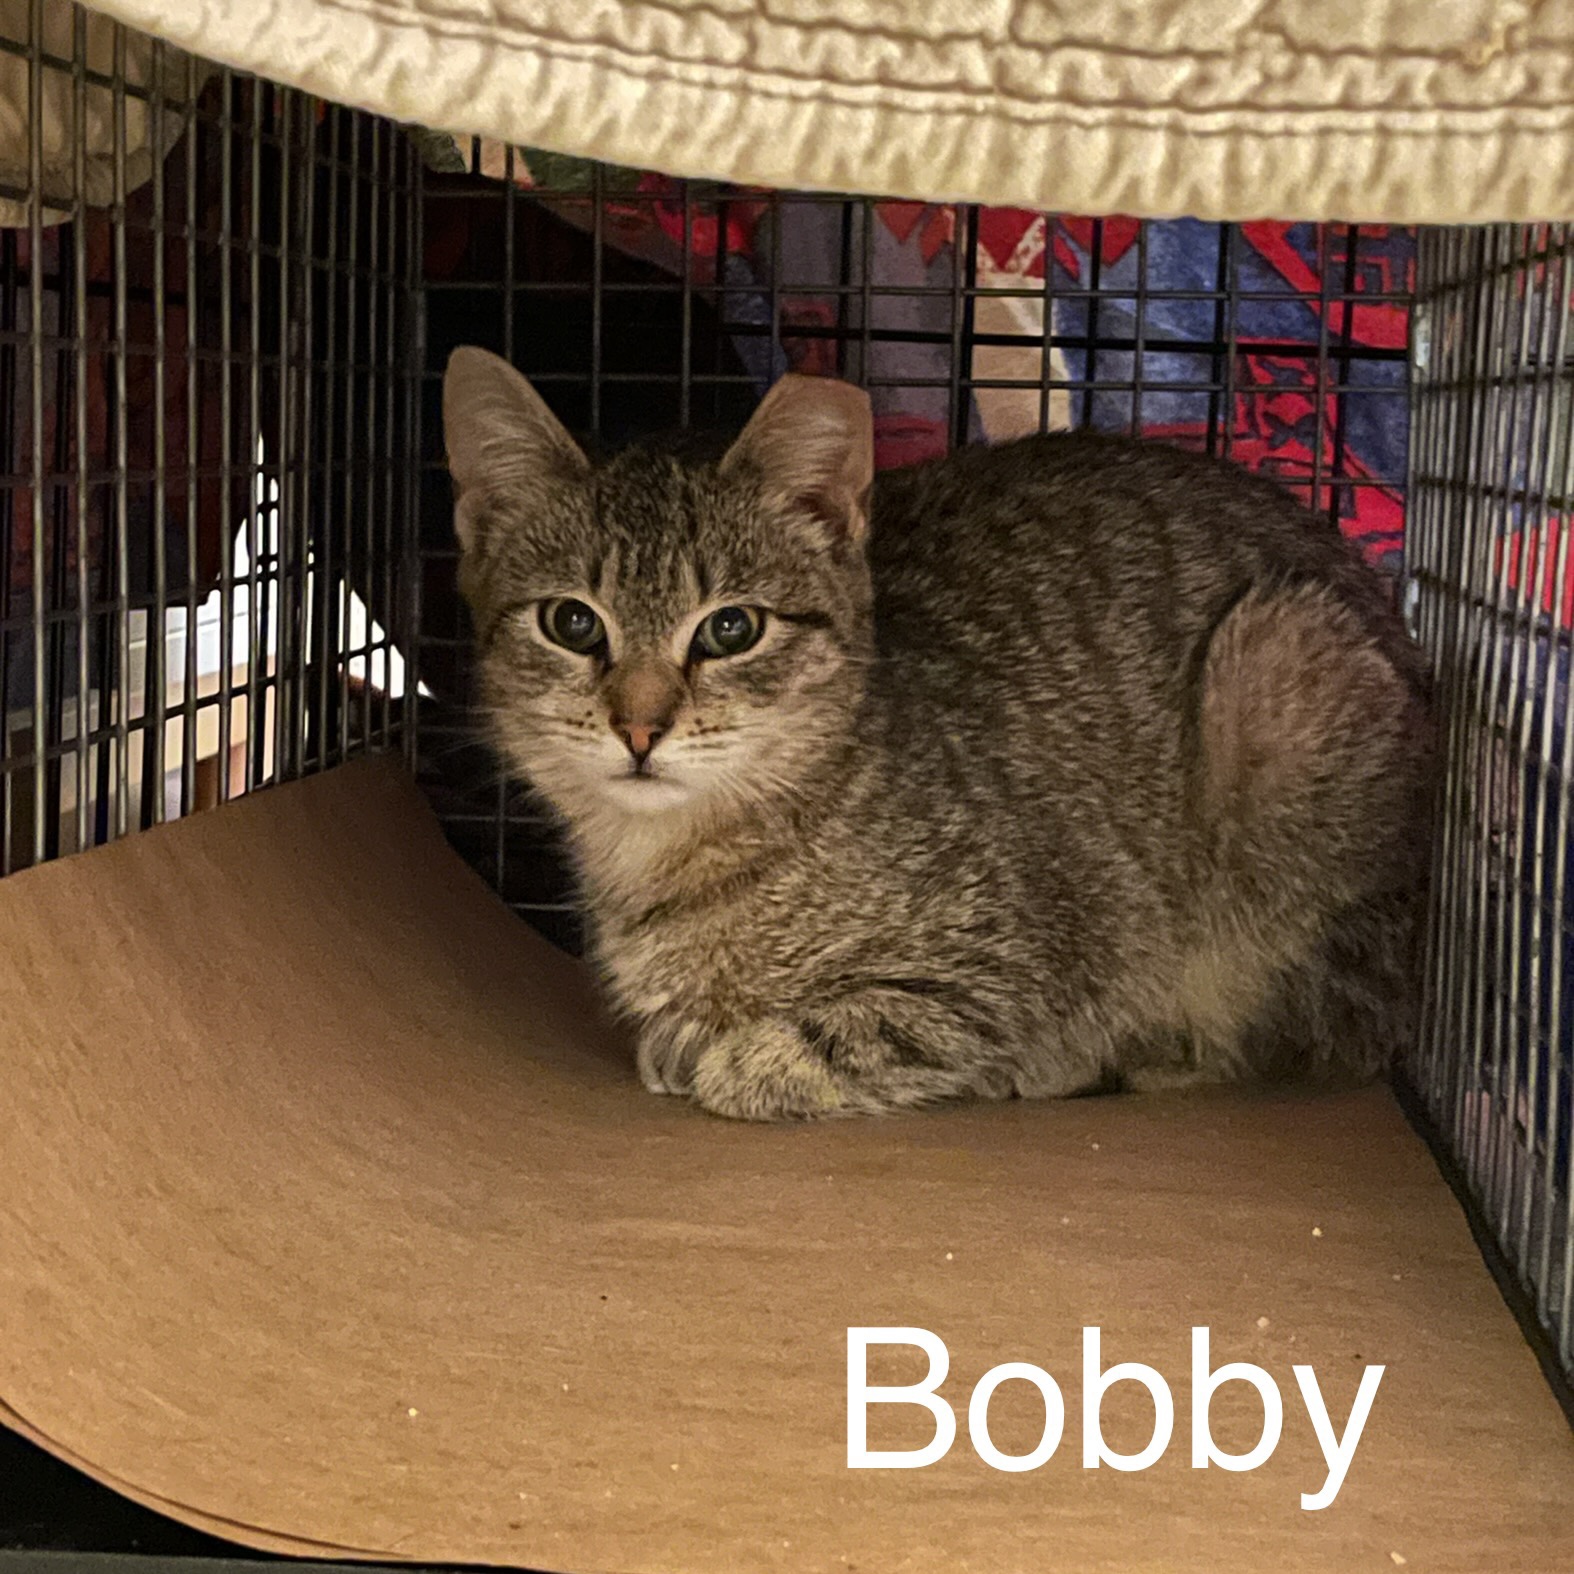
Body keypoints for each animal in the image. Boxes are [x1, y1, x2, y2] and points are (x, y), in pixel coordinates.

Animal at [443, 345, 1434, 1121]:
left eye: (730, 629)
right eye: (572, 623)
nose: (640, 727)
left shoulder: (1024, 964)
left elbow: (854, 1033)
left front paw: (735, 1052)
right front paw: (682, 1032)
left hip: (1275, 667)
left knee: (1287, 1040)